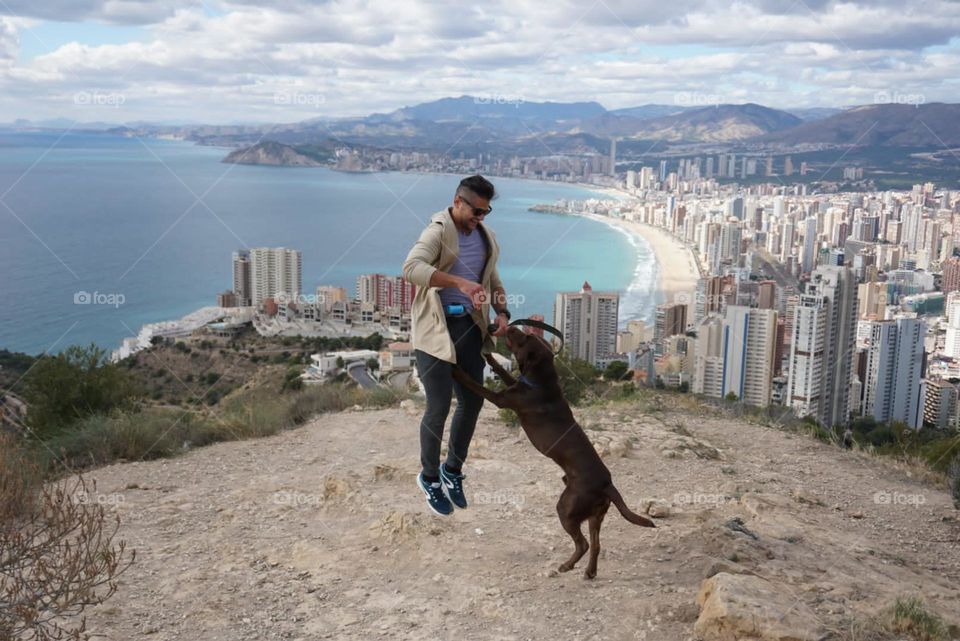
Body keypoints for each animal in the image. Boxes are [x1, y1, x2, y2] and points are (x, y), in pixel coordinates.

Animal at [454, 328, 656, 576]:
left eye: (526, 338)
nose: (510, 326)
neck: (541, 382)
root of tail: (607, 484)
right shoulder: (514, 384)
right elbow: (504, 372)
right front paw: (491, 358)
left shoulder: (502, 399)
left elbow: (477, 385)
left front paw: (456, 370)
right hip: (595, 515)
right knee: (596, 544)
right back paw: (589, 572)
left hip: (567, 507)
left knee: (583, 543)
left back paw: (567, 566)